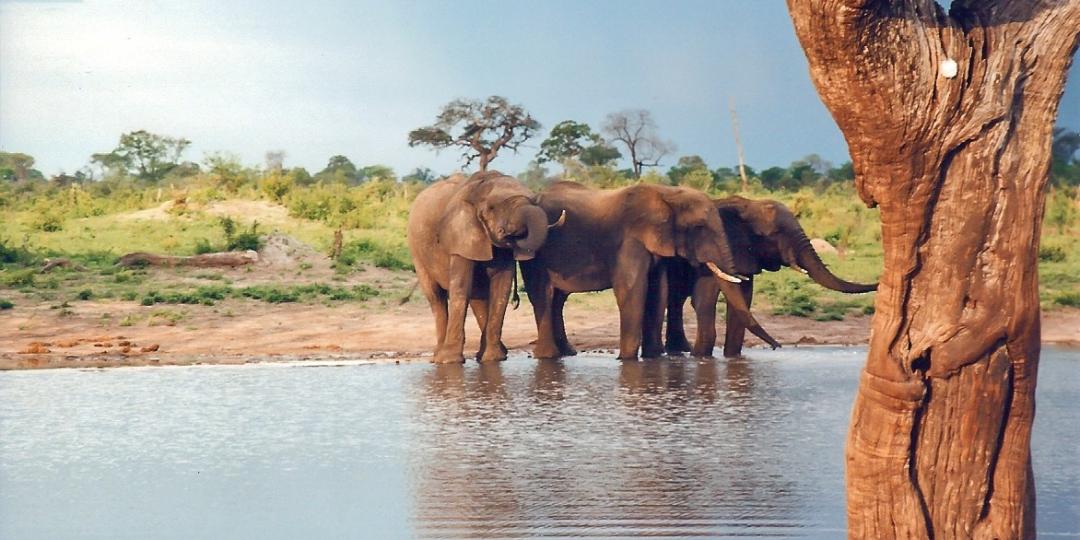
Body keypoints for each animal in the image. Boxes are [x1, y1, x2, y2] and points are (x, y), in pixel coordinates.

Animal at [406, 170, 565, 365]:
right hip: (417, 252)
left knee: (478, 295)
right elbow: (461, 287)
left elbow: (501, 287)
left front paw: (493, 359)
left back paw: (489, 354)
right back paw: (438, 357)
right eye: (492, 208)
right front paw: (450, 361)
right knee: (436, 298)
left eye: (533, 201)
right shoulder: (460, 236)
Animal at [520, 182, 781, 362]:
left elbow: (659, 291)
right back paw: (548, 356)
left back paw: (565, 354)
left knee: (557, 300)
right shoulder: (630, 240)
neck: (667, 194)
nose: (777, 347)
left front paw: (653, 358)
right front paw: (626, 360)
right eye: (699, 227)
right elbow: (632, 289)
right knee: (543, 295)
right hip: (535, 253)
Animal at [665, 195, 876, 358]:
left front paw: (733, 358)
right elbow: (707, 299)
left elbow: (742, 301)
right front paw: (702, 358)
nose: (777, 347)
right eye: (775, 234)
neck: (748, 204)